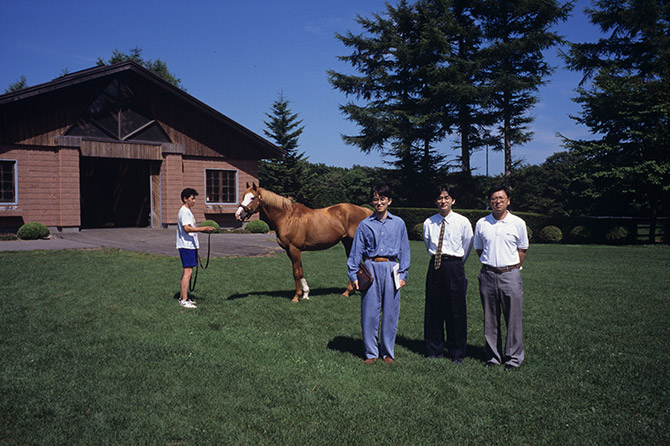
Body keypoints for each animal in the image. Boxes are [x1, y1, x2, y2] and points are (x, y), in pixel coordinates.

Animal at [235, 182, 372, 304]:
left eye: (252, 197)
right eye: (243, 196)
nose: (238, 214)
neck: (287, 217)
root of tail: (365, 211)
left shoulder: (294, 249)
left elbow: (295, 272)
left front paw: (296, 297)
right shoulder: (290, 251)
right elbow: (300, 271)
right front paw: (305, 294)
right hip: (348, 243)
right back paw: (347, 292)